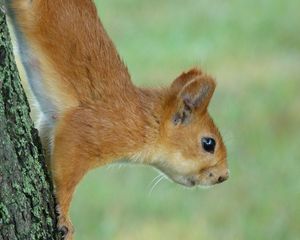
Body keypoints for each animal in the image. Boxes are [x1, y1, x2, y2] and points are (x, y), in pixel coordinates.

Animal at [5, 0, 229, 240]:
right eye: (208, 143)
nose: (224, 176)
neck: (146, 121)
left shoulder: (51, 124)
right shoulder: (87, 130)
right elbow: (65, 178)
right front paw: (65, 217)